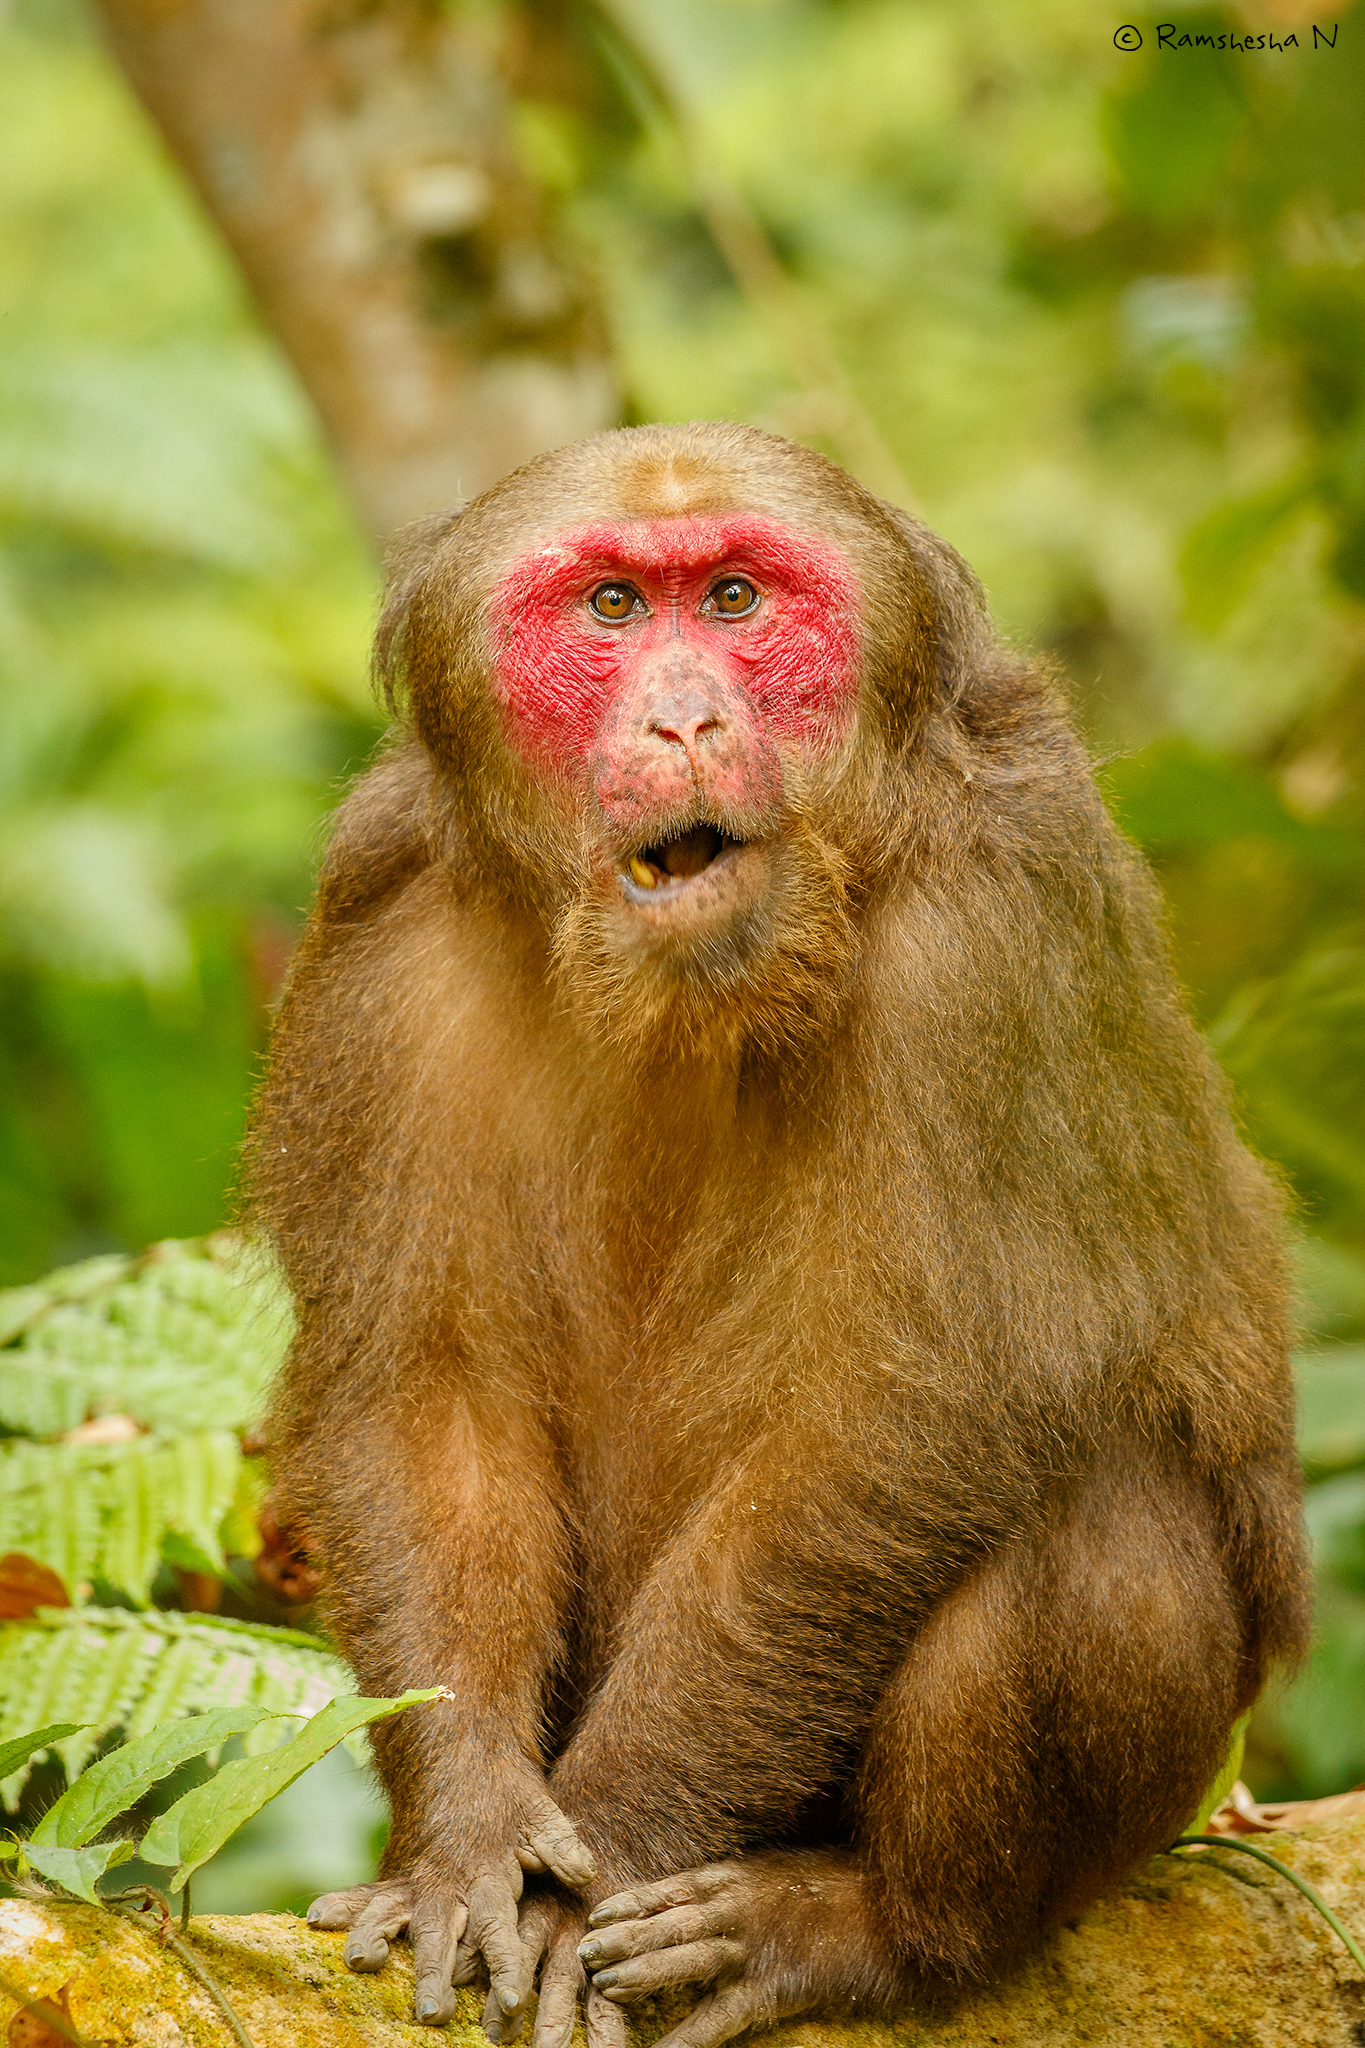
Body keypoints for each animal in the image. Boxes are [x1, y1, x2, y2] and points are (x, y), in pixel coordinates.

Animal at [249, 422, 1310, 2048]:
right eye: (615, 607)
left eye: (738, 598)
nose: (686, 717)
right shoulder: (387, 922)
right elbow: (420, 1390)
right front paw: (470, 1838)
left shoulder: (989, 932)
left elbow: (901, 1418)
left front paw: (605, 1859)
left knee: (1097, 1515)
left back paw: (887, 1925)